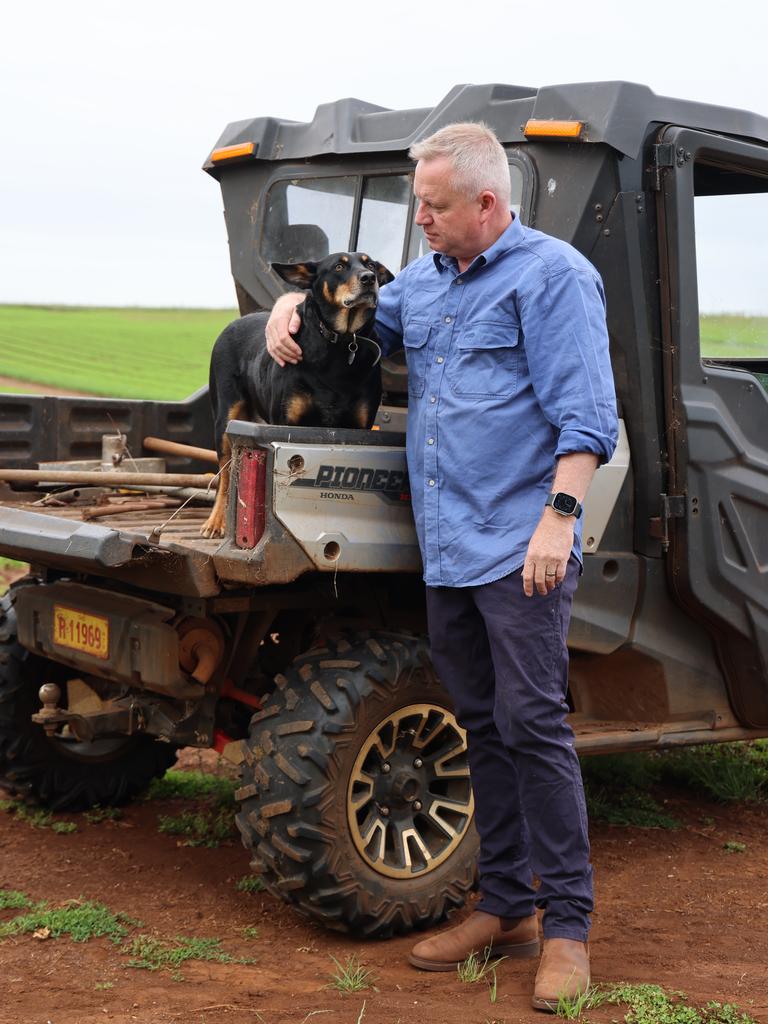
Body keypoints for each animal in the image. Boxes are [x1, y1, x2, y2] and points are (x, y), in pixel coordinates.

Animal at [201, 251, 393, 540]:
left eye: (369, 264)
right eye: (339, 266)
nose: (369, 279)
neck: (341, 344)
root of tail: (236, 321)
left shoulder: (359, 428)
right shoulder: (285, 422)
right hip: (224, 416)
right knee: (225, 473)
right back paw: (215, 522)